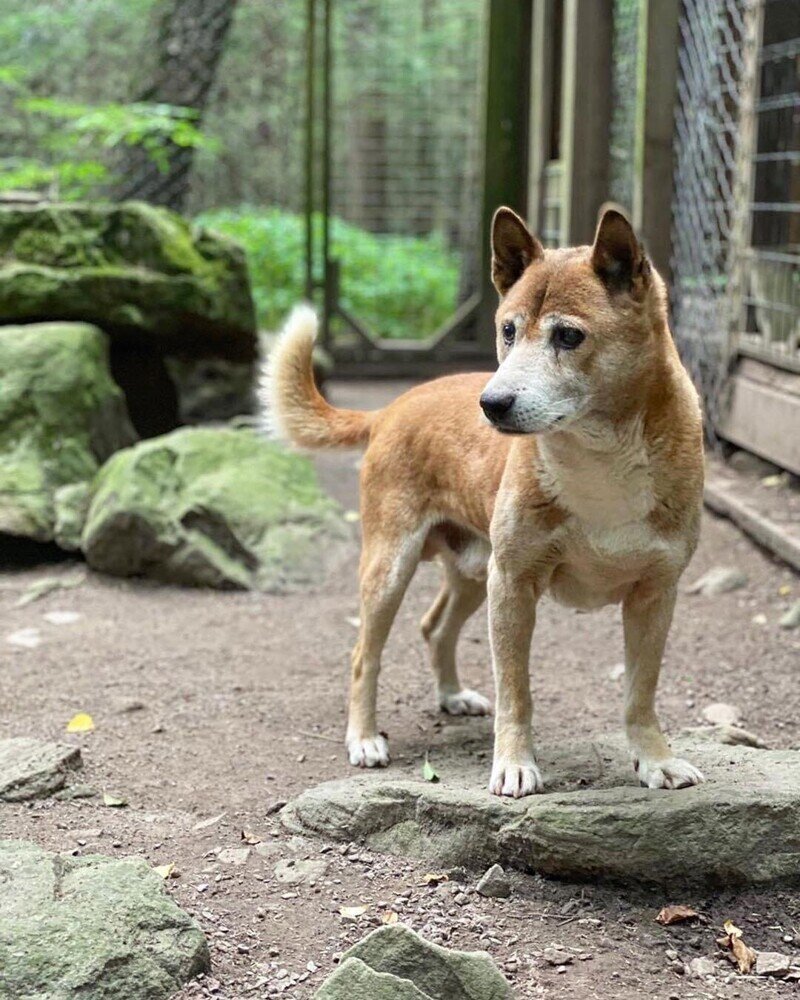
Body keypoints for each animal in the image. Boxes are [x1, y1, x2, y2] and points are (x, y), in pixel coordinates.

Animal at [260, 209, 700, 796]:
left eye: (568, 335)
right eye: (508, 331)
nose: (491, 404)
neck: (600, 459)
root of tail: (394, 407)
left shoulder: (655, 593)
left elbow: (640, 695)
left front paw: (655, 760)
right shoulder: (513, 585)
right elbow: (517, 692)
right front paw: (514, 764)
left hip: (474, 572)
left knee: (434, 626)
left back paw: (451, 696)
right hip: (393, 567)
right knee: (363, 656)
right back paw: (364, 738)